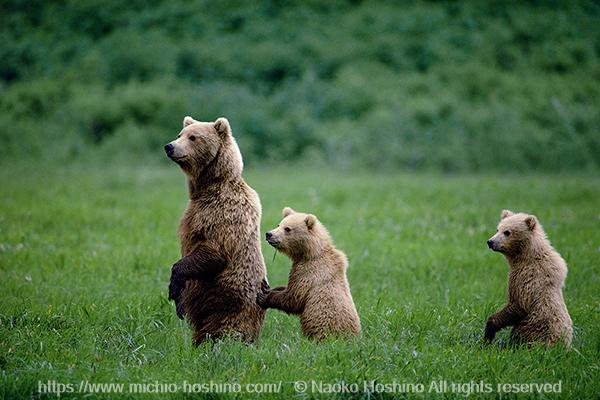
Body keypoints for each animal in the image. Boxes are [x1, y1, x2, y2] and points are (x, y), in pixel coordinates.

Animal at [164, 115, 268, 344]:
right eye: (180, 134)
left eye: (193, 137)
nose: (170, 146)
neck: (209, 187)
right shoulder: (192, 213)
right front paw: (179, 303)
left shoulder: (224, 214)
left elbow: (214, 250)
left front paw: (173, 287)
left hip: (228, 303)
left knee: (222, 329)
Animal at [258, 206, 360, 340]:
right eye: (279, 224)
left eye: (287, 229)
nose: (269, 234)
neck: (310, 253)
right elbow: (288, 289)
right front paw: (267, 287)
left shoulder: (309, 272)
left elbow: (294, 298)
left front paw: (264, 297)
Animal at [482, 211, 572, 346]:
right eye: (497, 229)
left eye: (507, 232)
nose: (490, 242)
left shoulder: (525, 279)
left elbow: (518, 305)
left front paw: (488, 333)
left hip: (533, 331)